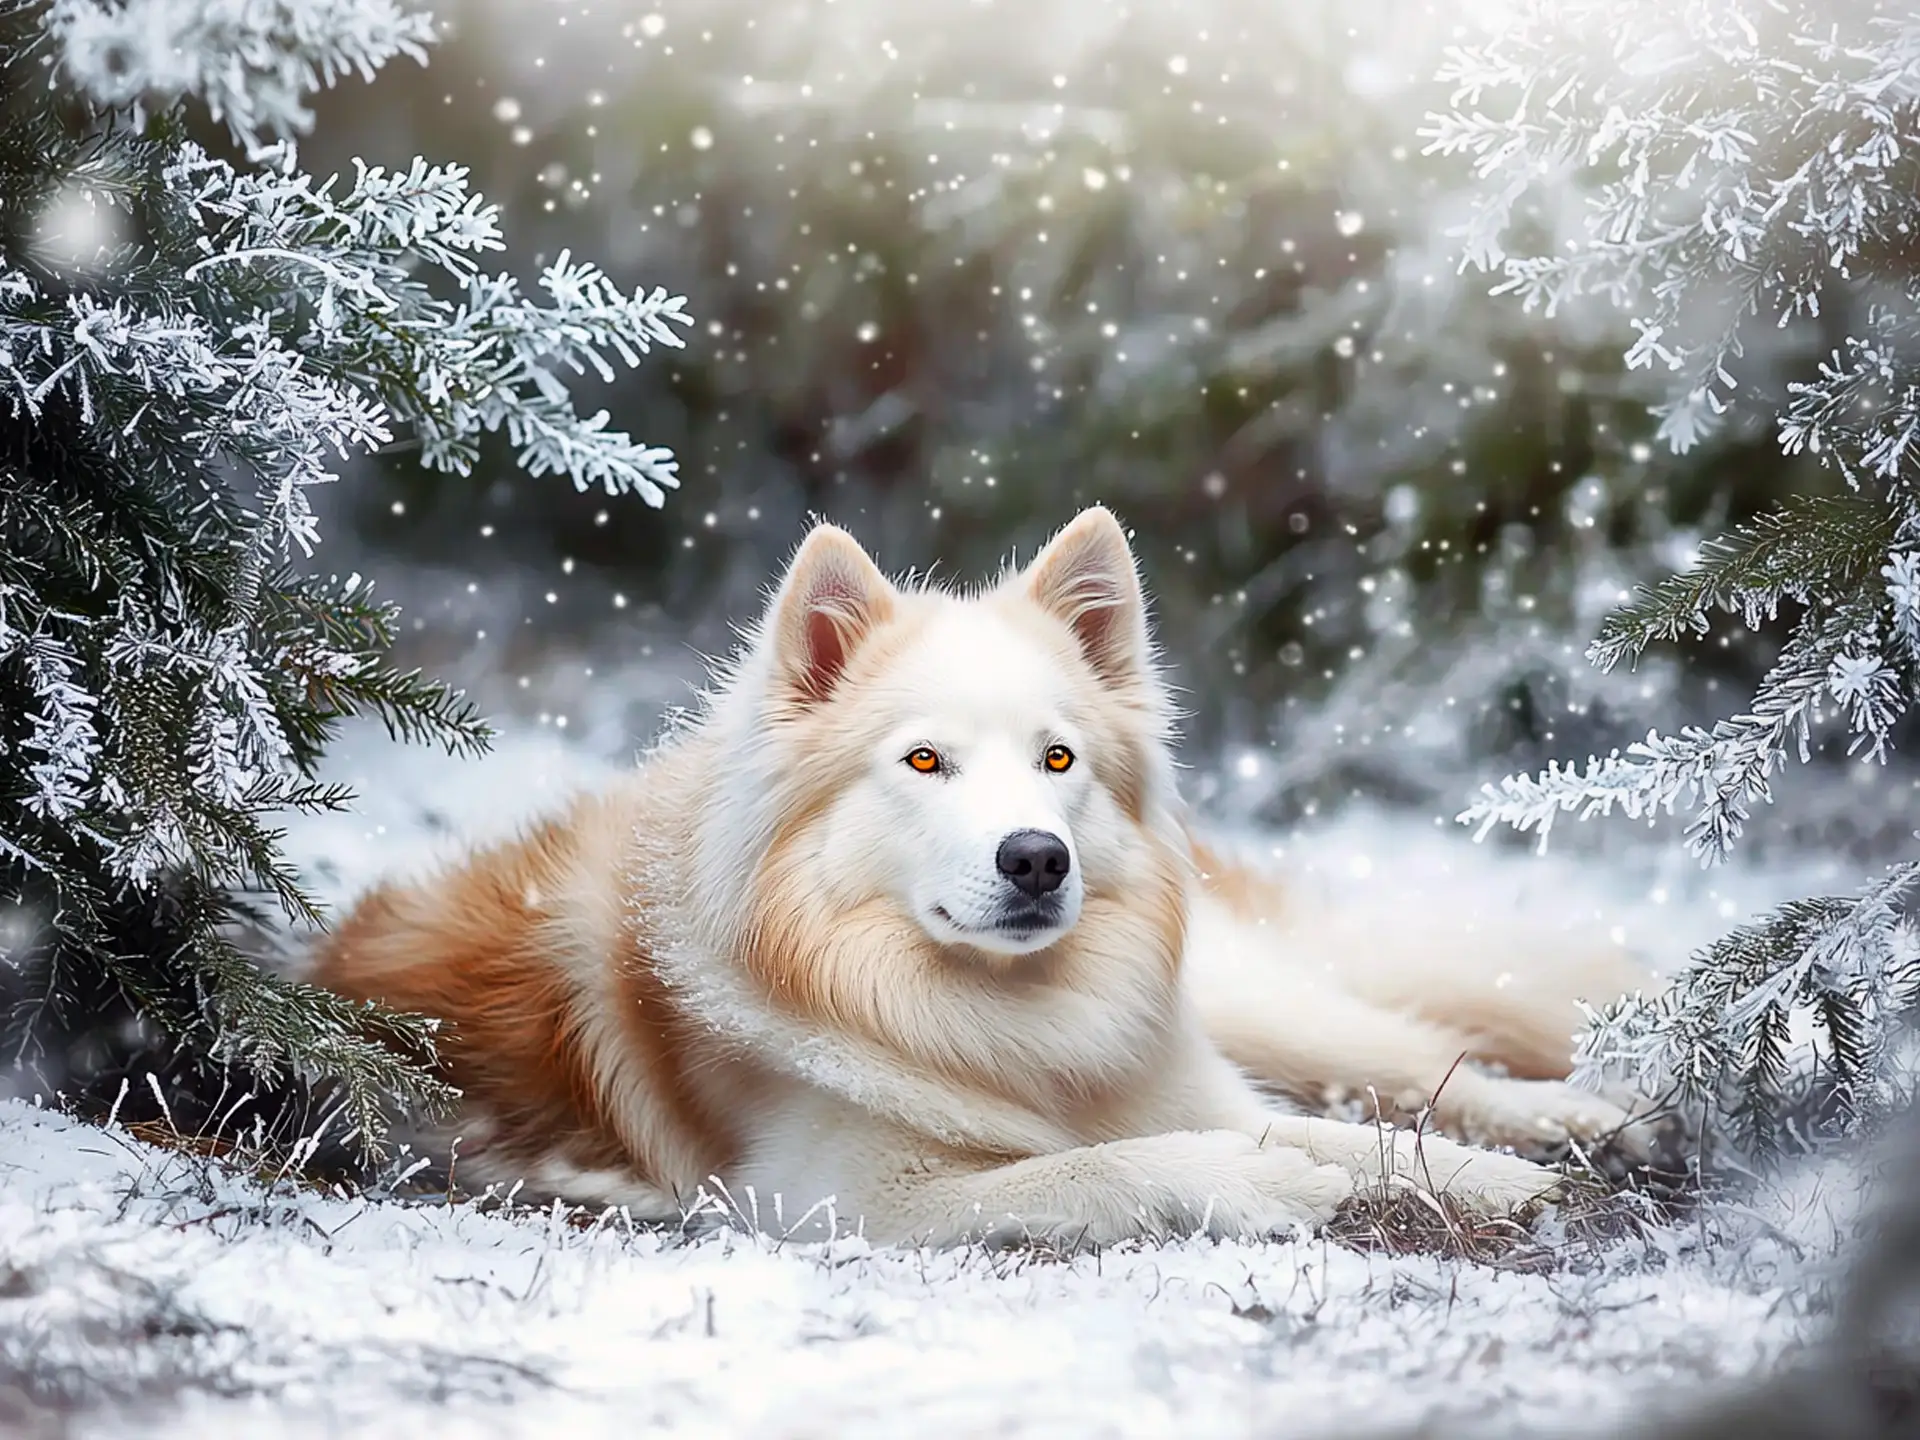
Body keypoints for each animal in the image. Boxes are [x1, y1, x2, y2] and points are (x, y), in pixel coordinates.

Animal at [314, 510, 1651, 1251]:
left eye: (1058, 759)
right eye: (925, 761)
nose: (1037, 858)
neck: (991, 1026)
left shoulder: (1172, 1083)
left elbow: (1356, 1137)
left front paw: (1504, 1185)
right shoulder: (837, 1202)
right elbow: (1105, 1164)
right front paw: (1266, 1183)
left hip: (1256, 1004)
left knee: (1418, 1058)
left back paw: (1584, 1121)